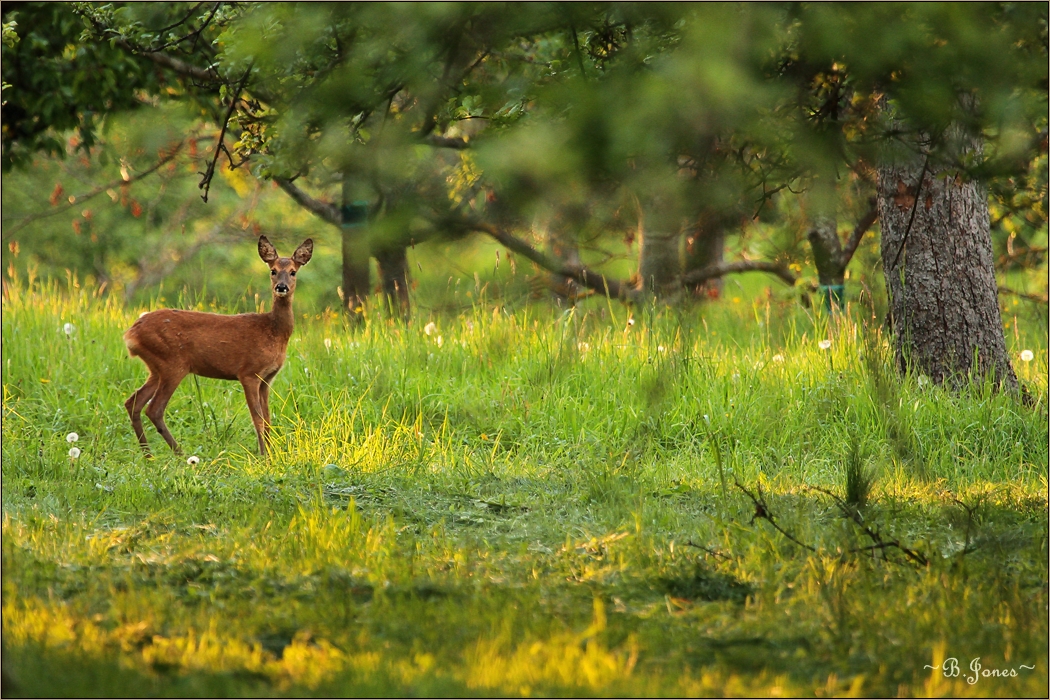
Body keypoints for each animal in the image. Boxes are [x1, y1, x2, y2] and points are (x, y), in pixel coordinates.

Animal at [123, 234, 310, 455]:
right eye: (273, 270)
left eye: (293, 272)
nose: (281, 287)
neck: (273, 331)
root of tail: (131, 333)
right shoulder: (248, 372)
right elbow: (257, 419)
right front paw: (263, 456)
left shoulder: (267, 379)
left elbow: (267, 419)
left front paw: (272, 454)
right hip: (173, 363)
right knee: (154, 409)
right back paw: (180, 454)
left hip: (156, 368)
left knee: (133, 402)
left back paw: (149, 455)